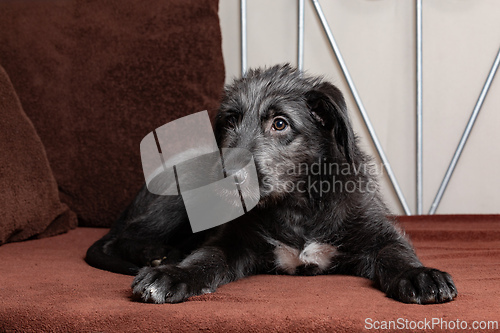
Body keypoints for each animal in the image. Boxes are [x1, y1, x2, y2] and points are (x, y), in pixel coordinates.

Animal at [85, 64, 458, 304]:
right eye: (230, 121)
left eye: (280, 123)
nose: (224, 175)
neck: (296, 205)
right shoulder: (233, 240)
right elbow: (205, 257)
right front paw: (174, 274)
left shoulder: (377, 233)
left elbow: (397, 252)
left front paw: (420, 274)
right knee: (116, 239)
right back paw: (156, 255)